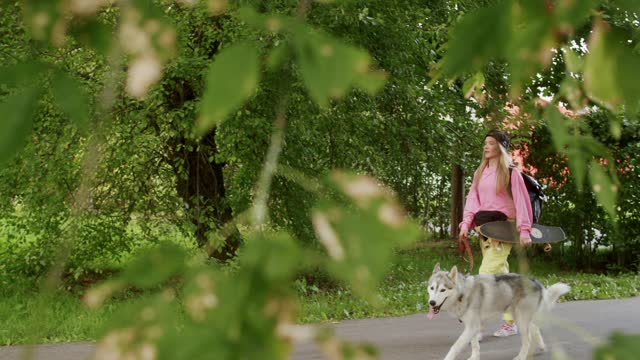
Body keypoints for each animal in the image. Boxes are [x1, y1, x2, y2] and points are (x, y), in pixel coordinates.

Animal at [430, 262, 568, 360]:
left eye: (442, 290)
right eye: (431, 288)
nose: (431, 303)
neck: (463, 292)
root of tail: (536, 282)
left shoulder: (472, 326)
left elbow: (455, 347)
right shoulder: (472, 327)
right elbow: (475, 345)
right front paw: (474, 357)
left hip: (521, 320)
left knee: (527, 339)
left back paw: (522, 356)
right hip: (521, 317)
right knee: (535, 329)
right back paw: (539, 347)